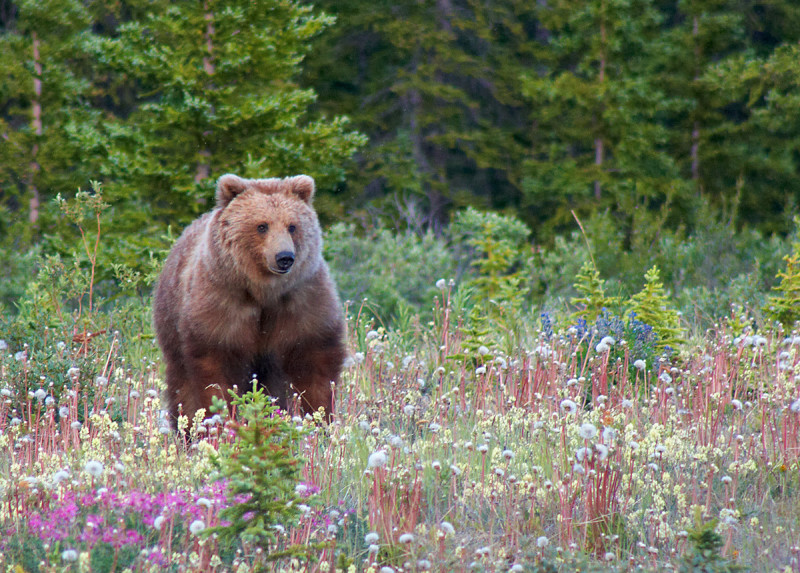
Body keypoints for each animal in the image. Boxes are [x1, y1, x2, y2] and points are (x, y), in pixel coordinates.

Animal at [153, 172, 346, 426]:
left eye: (292, 226)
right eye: (262, 226)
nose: (285, 257)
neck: (264, 291)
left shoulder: (302, 299)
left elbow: (314, 360)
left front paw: (319, 418)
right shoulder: (222, 302)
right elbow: (215, 368)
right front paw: (220, 419)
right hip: (172, 322)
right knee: (181, 382)